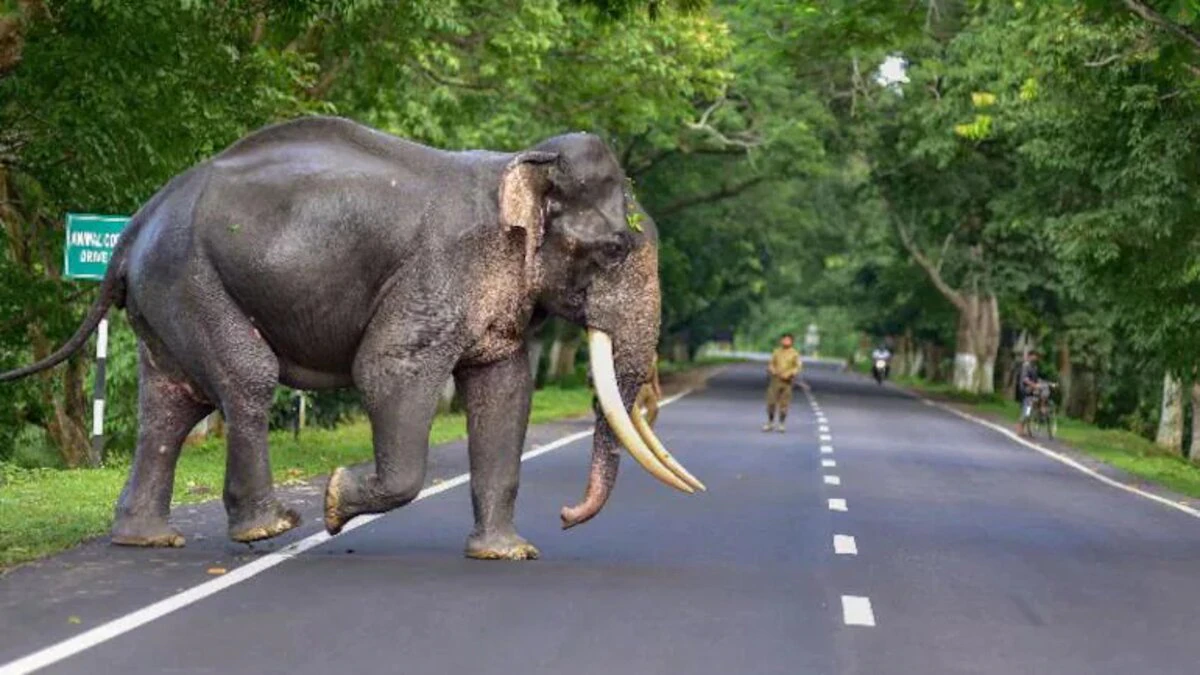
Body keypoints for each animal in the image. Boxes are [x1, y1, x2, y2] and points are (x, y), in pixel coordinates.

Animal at [0, 116, 704, 560]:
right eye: (615, 249)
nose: (565, 519)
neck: (517, 163)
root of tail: (136, 223)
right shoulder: (438, 272)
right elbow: (388, 370)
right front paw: (336, 501)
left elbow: (504, 391)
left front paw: (508, 554)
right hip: (190, 279)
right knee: (245, 377)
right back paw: (270, 527)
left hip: (166, 295)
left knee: (170, 404)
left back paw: (147, 539)